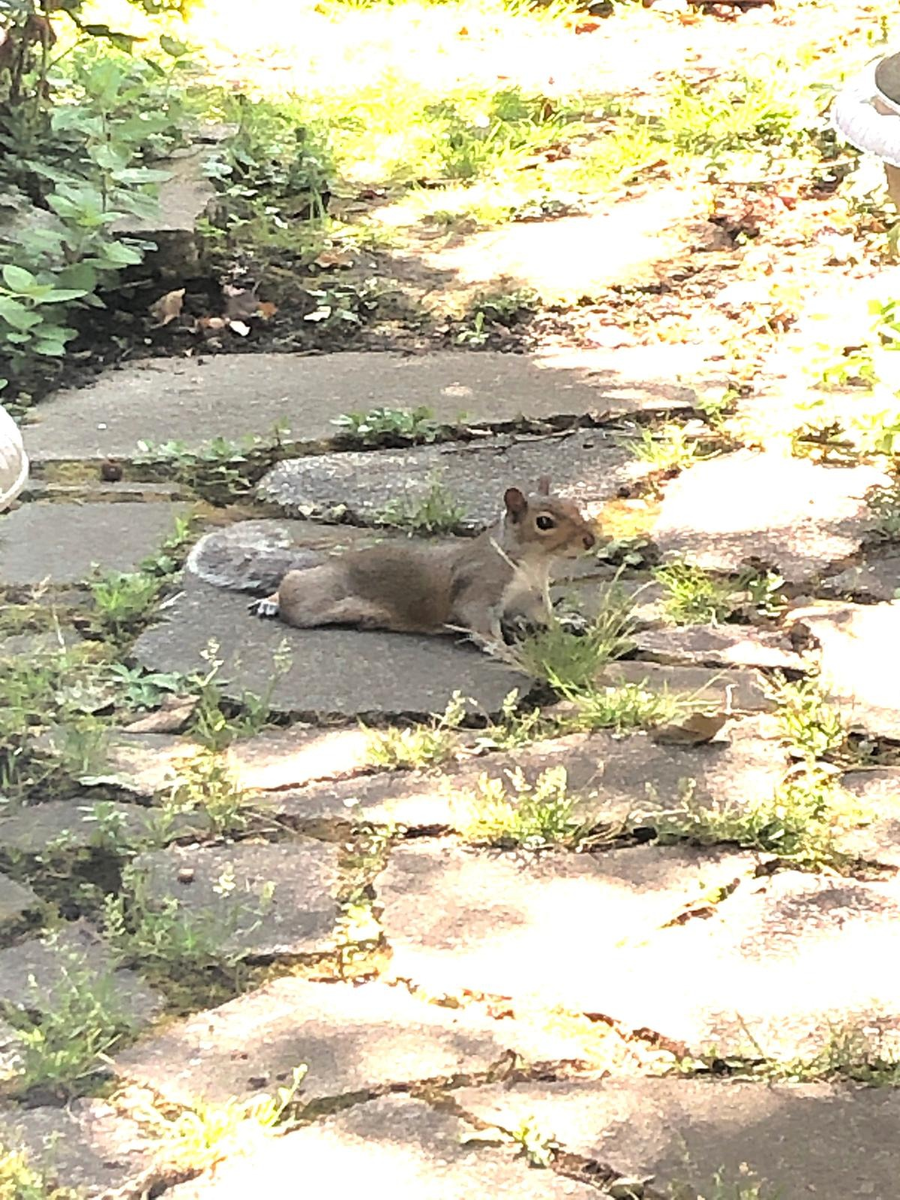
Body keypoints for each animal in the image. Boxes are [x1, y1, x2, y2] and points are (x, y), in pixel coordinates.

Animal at [186, 477, 596, 644]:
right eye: (544, 523)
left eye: (575, 505)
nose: (590, 540)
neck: (533, 564)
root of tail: (335, 561)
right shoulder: (479, 591)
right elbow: (482, 626)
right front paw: (509, 651)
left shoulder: (533, 598)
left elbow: (547, 620)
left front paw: (569, 625)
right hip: (317, 599)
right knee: (292, 584)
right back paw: (272, 601)